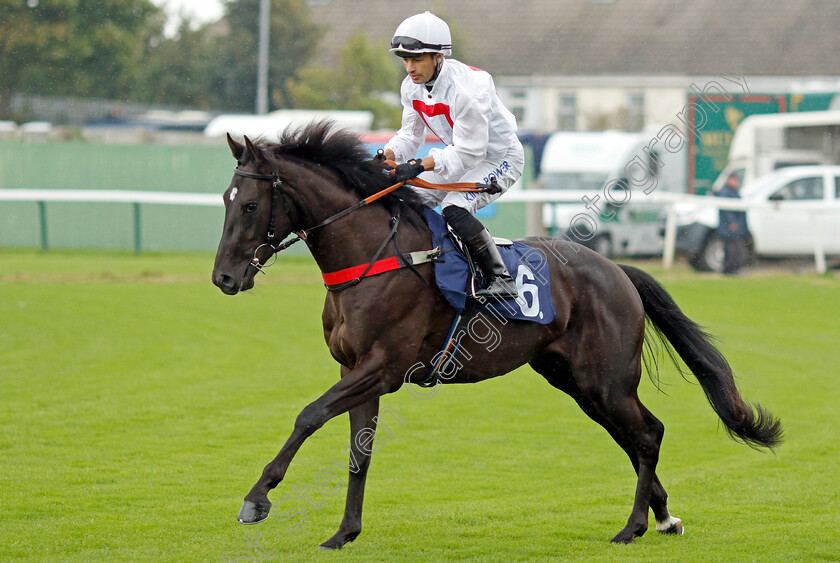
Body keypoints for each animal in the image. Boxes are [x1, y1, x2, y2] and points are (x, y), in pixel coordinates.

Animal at [212, 122, 780, 552]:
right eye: (224, 199)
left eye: (249, 206)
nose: (223, 278)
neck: (372, 257)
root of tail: (615, 268)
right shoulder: (355, 370)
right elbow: (358, 451)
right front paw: (343, 533)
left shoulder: (382, 368)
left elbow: (308, 415)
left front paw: (257, 498)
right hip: (575, 381)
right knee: (633, 436)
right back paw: (663, 517)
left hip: (606, 378)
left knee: (647, 434)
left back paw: (634, 526)